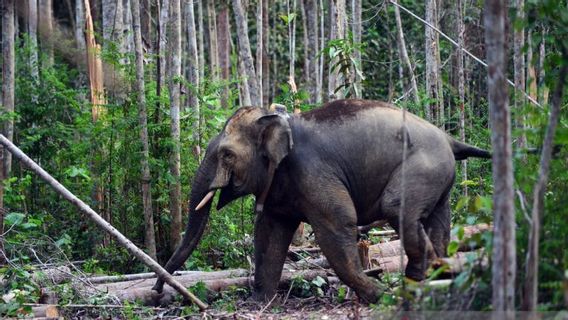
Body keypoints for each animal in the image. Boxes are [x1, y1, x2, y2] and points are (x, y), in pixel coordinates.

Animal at [153, 99, 490, 302]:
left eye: (226, 155)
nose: (157, 291)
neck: (280, 121)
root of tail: (449, 139)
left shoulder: (313, 171)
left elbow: (337, 224)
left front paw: (379, 295)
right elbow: (269, 235)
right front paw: (261, 302)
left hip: (424, 166)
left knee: (399, 210)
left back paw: (415, 284)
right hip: (441, 177)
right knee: (438, 221)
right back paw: (440, 276)